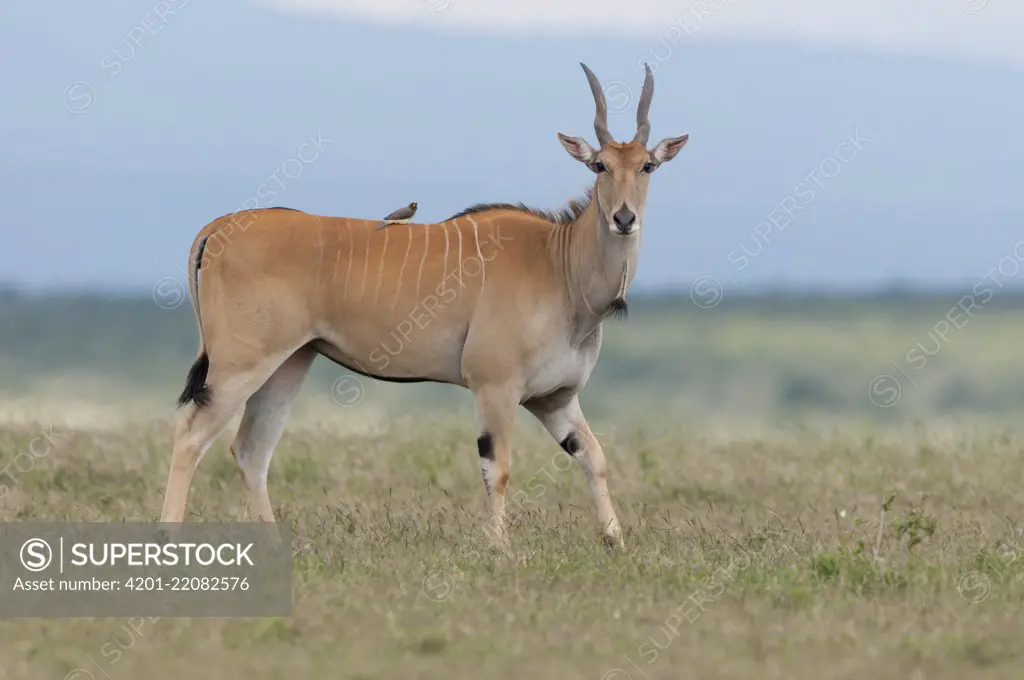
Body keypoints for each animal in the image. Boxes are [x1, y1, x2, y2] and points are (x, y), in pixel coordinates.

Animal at [159, 62, 688, 553]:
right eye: (599, 166)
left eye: (648, 166)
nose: (624, 218)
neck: (559, 265)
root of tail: (220, 226)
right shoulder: (495, 389)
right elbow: (498, 467)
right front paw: (498, 547)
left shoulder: (555, 399)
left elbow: (594, 457)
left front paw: (615, 540)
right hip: (240, 365)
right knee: (190, 436)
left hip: (289, 363)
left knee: (251, 449)